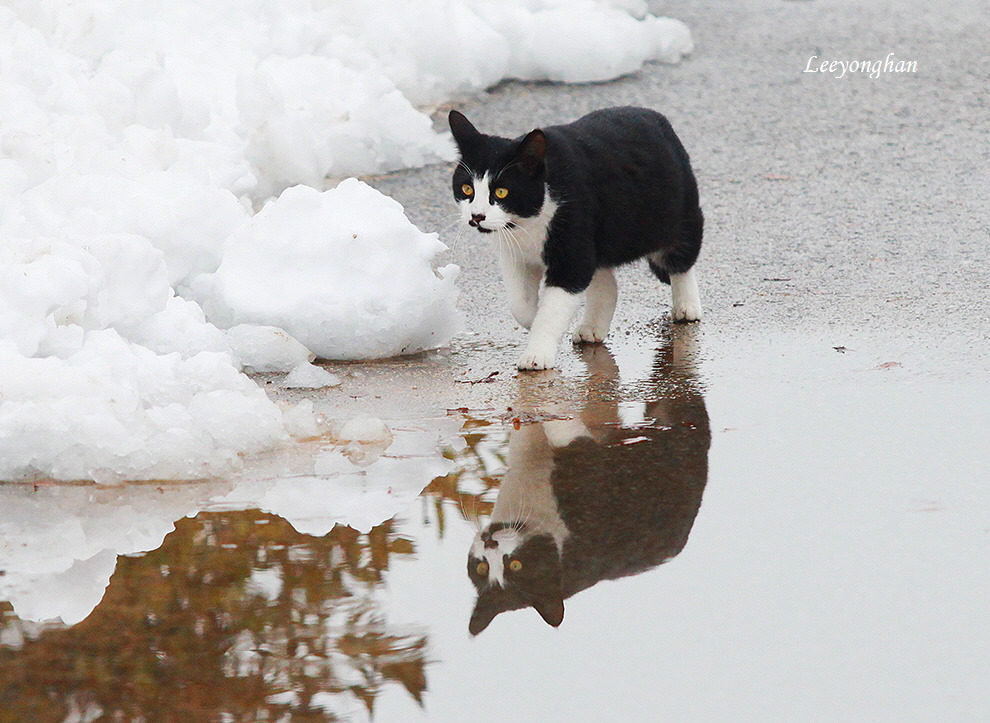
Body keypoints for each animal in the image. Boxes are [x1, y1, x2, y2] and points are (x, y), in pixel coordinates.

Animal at [450, 106, 704, 374]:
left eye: (501, 192)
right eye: (467, 189)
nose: (477, 216)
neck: (528, 224)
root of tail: (656, 118)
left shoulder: (571, 254)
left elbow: (551, 311)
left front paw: (537, 354)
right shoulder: (516, 255)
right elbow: (519, 303)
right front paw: (533, 317)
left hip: (678, 215)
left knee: (680, 259)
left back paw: (686, 306)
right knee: (606, 282)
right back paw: (592, 328)